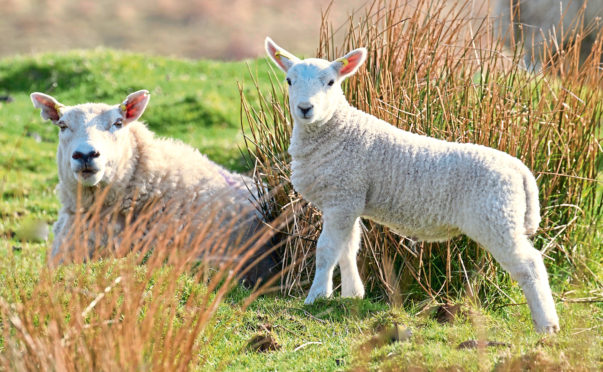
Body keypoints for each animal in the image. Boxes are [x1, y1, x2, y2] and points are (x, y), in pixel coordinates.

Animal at [264, 37, 560, 332]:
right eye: (289, 81)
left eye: (331, 82)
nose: (305, 108)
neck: (337, 130)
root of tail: (520, 171)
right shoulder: (349, 199)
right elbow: (348, 249)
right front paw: (351, 295)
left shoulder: (342, 194)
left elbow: (326, 250)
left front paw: (316, 297)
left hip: (497, 218)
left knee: (530, 265)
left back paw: (547, 325)